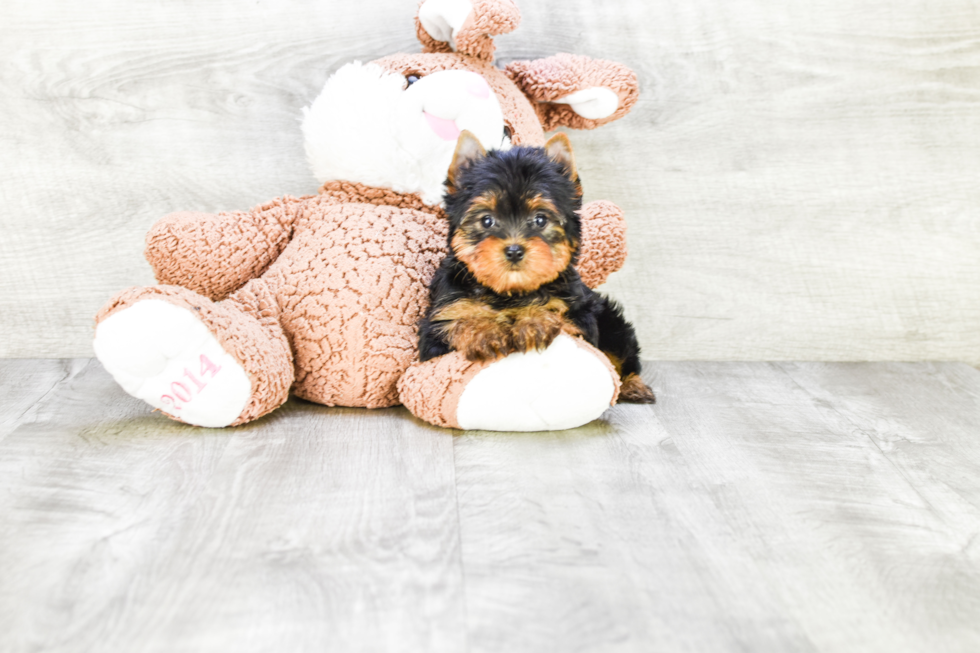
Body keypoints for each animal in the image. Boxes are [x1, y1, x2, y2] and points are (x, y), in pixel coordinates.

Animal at [418, 129, 656, 400]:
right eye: (487, 220)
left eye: (540, 219)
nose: (514, 250)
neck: (509, 292)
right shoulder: (437, 325)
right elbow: (456, 323)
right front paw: (484, 331)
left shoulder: (581, 318)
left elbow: (560, 316)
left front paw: (534, 320)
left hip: (611, 322)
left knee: (622, 353)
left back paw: (633, 385)